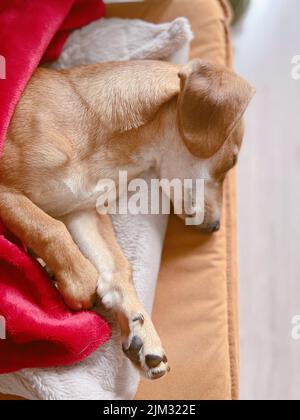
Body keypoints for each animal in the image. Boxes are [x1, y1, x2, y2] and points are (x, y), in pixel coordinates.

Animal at [0, 60, 254, 380]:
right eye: (231, 162)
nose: (216, 227)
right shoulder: (6, 190)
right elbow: (50, 229)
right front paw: (76, 281)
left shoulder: (81, 211)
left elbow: (118, 268)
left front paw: (143, 333)